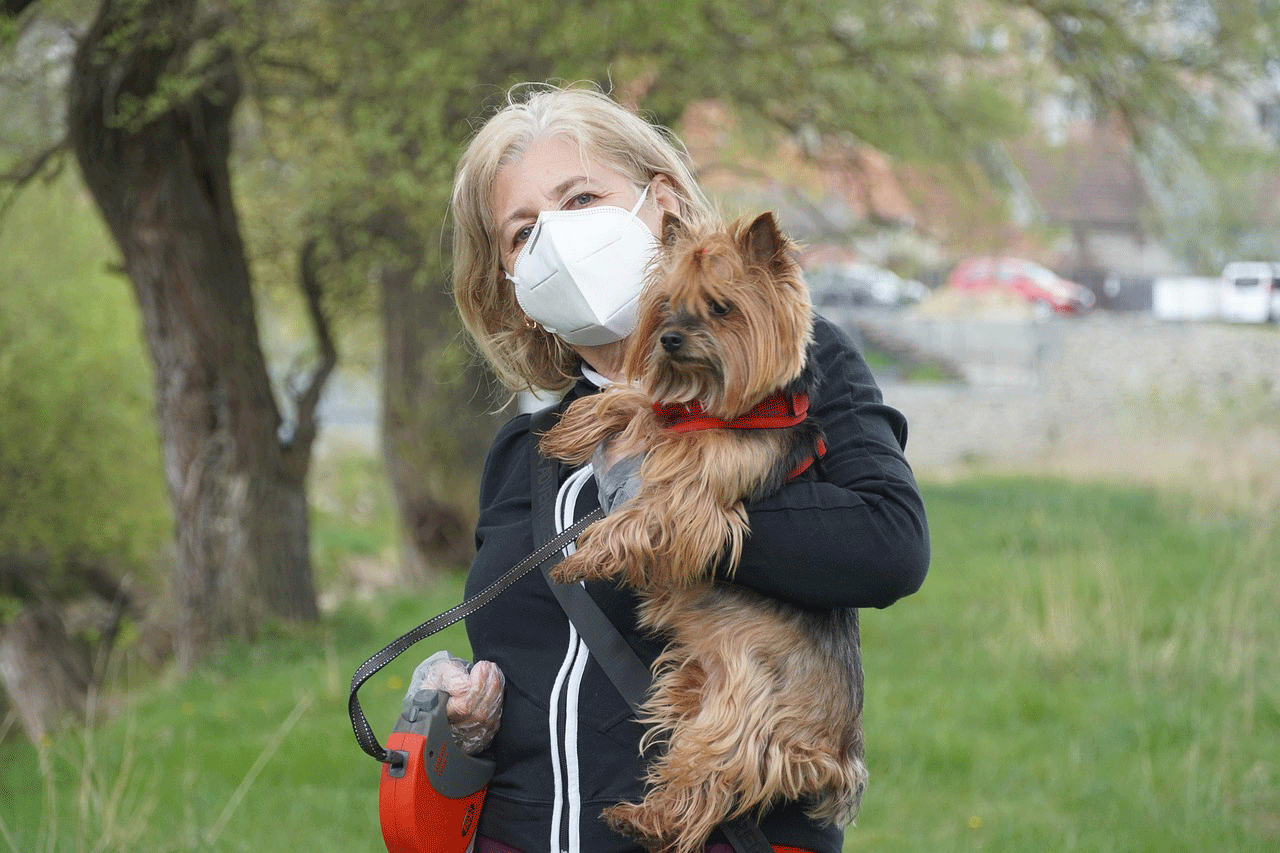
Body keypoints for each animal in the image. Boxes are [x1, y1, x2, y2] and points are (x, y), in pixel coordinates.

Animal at [535, 208, 865, 850]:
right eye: (666, 305)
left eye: (720, 307)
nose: (669, 338)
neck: (710, 406)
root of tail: (838, 752)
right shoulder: (663, 417)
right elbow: (635, 399)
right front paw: (575, 425)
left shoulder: (699, 502)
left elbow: (642, 514)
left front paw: (582, 555)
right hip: (688, 683)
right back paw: (639, 815)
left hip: (745, 712)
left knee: (713, 776)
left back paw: (649, 820)